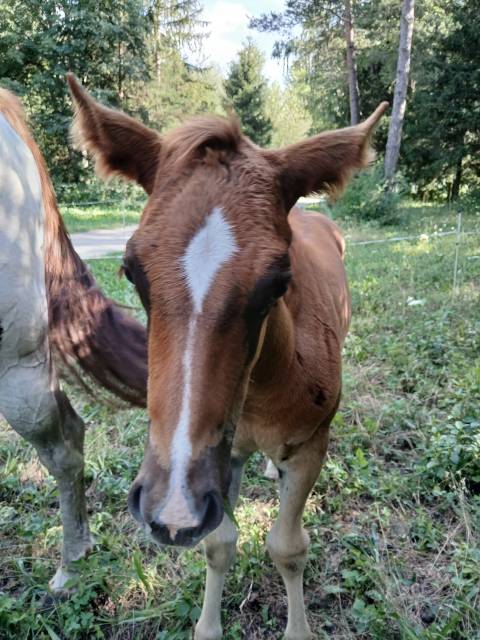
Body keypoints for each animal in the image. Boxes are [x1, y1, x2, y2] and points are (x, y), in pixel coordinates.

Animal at [67, 73, 387, 639]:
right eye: (131, 271)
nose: (172, 508)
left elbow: (288, 548)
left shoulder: (311, 445)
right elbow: (218, 544)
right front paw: (208, 626)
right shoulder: (222, 458)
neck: (262, 390)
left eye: (278, 281)